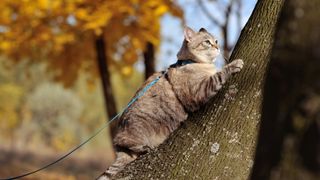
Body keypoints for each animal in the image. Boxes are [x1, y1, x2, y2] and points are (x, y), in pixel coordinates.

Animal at [97, 26, 242, 179]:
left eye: (216, 41)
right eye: (207, 42)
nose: (218, 47)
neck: (192, 62)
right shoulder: (200, 90)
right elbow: (220, 75)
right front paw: (235, 64)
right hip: (137, 128)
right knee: (128, 144)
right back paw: (147, 147)